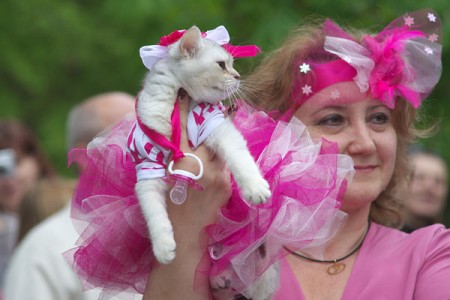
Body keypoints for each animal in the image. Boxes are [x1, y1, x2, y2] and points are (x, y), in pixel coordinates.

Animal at [129, 25, 270, 264]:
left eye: (231, 64)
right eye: (222, 65)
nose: (238, 76)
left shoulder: (217, 128)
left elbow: (240, 159)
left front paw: (255, 187)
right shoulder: (147, 165)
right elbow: (153, 212)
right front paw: (163, 247)